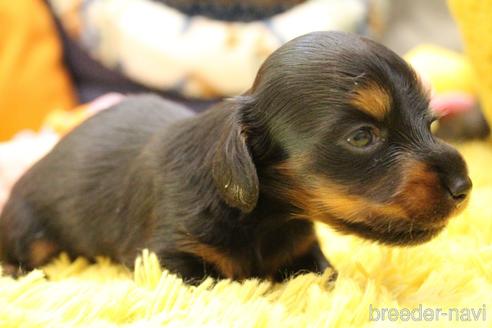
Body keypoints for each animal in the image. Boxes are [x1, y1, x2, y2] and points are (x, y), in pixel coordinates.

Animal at [0, 32, 470, 284]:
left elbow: (325, 276)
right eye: (361, 137)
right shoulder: (170, 258)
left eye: (430, 123)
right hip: (30, 226)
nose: (464, 187)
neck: (266, 216)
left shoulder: (303, 251)